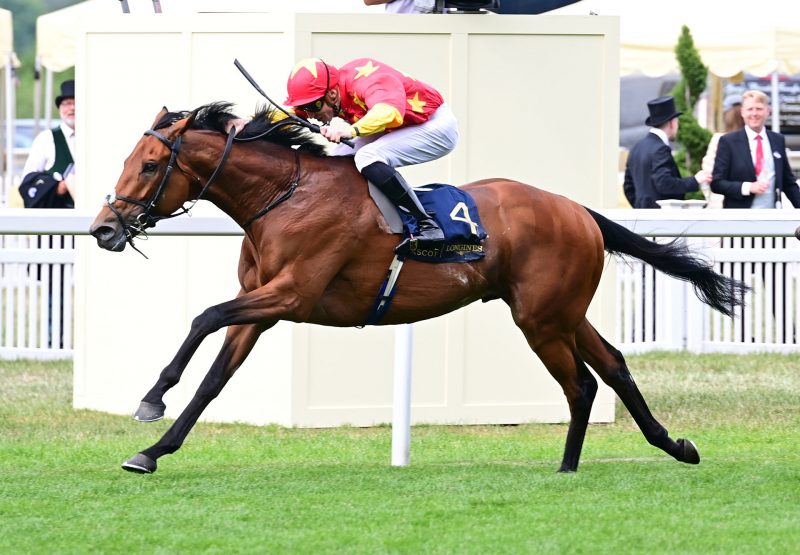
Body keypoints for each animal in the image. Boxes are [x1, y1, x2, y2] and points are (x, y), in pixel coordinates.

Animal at [90, 103, 748, 474]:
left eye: (150, 165)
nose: (103, 229)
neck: (284, 196)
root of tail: (578, 209)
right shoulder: (263, 309)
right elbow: (213, 382)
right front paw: (152, 450)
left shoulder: (292, 295)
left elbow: (203, 316)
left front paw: (151, 399)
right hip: (560, 311)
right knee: (612, 366)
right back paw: (673, 446)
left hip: (541, 318)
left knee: (582, 383)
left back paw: (568, 467)